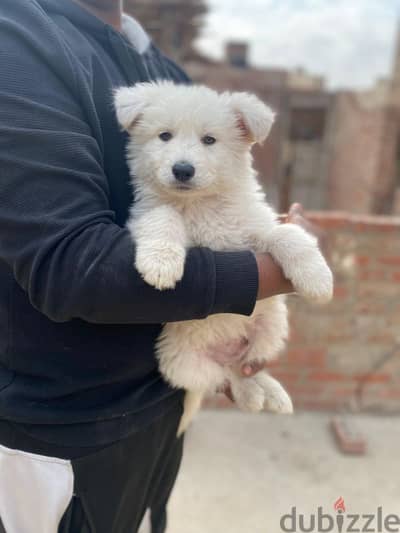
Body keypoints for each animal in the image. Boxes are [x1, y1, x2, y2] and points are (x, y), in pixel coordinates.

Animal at [114, 81, 332, 434]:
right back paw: (254, 396)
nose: (183, 169)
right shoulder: (144, 215)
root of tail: (225, 349)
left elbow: (287, 234)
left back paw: (272, 393)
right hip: (181, 363)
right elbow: (163, 217)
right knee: (226, 377)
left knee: (249, 367)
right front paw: (160, 264)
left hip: (271, 329)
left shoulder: (257, 231)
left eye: (209, 140)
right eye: (164, 136)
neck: (200, 205)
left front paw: (317, 278)